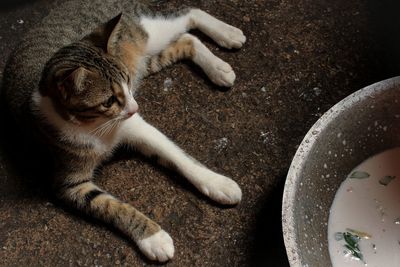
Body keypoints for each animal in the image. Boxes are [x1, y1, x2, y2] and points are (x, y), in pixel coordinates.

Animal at [1, 0, 244, 262]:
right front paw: (153, 237)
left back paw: (227, 38)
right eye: (108, 101)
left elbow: (179, 157)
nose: (135, 107)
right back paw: (218, 66)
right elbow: (111, 206)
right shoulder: (69, 182)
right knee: (186, 39)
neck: (95, 127)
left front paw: (218, 183)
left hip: (147, 32)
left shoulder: (138, 126)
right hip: (147, 59)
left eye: (127, 81)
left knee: (188, 14)